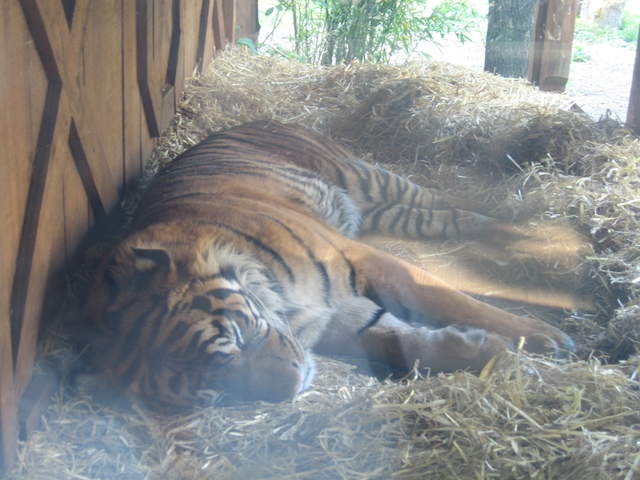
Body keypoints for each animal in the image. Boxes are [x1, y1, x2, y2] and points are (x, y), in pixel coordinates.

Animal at [82, 120, 575, 409]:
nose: (293, 386)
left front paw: (543, 338)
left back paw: (527, 230)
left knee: (450, 204)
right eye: (213, 388)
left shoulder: (368, 261)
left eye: (237, 339)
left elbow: (453, 300)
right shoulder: (340, 316)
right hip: (383, 210)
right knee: (446, 219)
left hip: (367, 178)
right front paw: (489, 352)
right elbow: (403, 341)